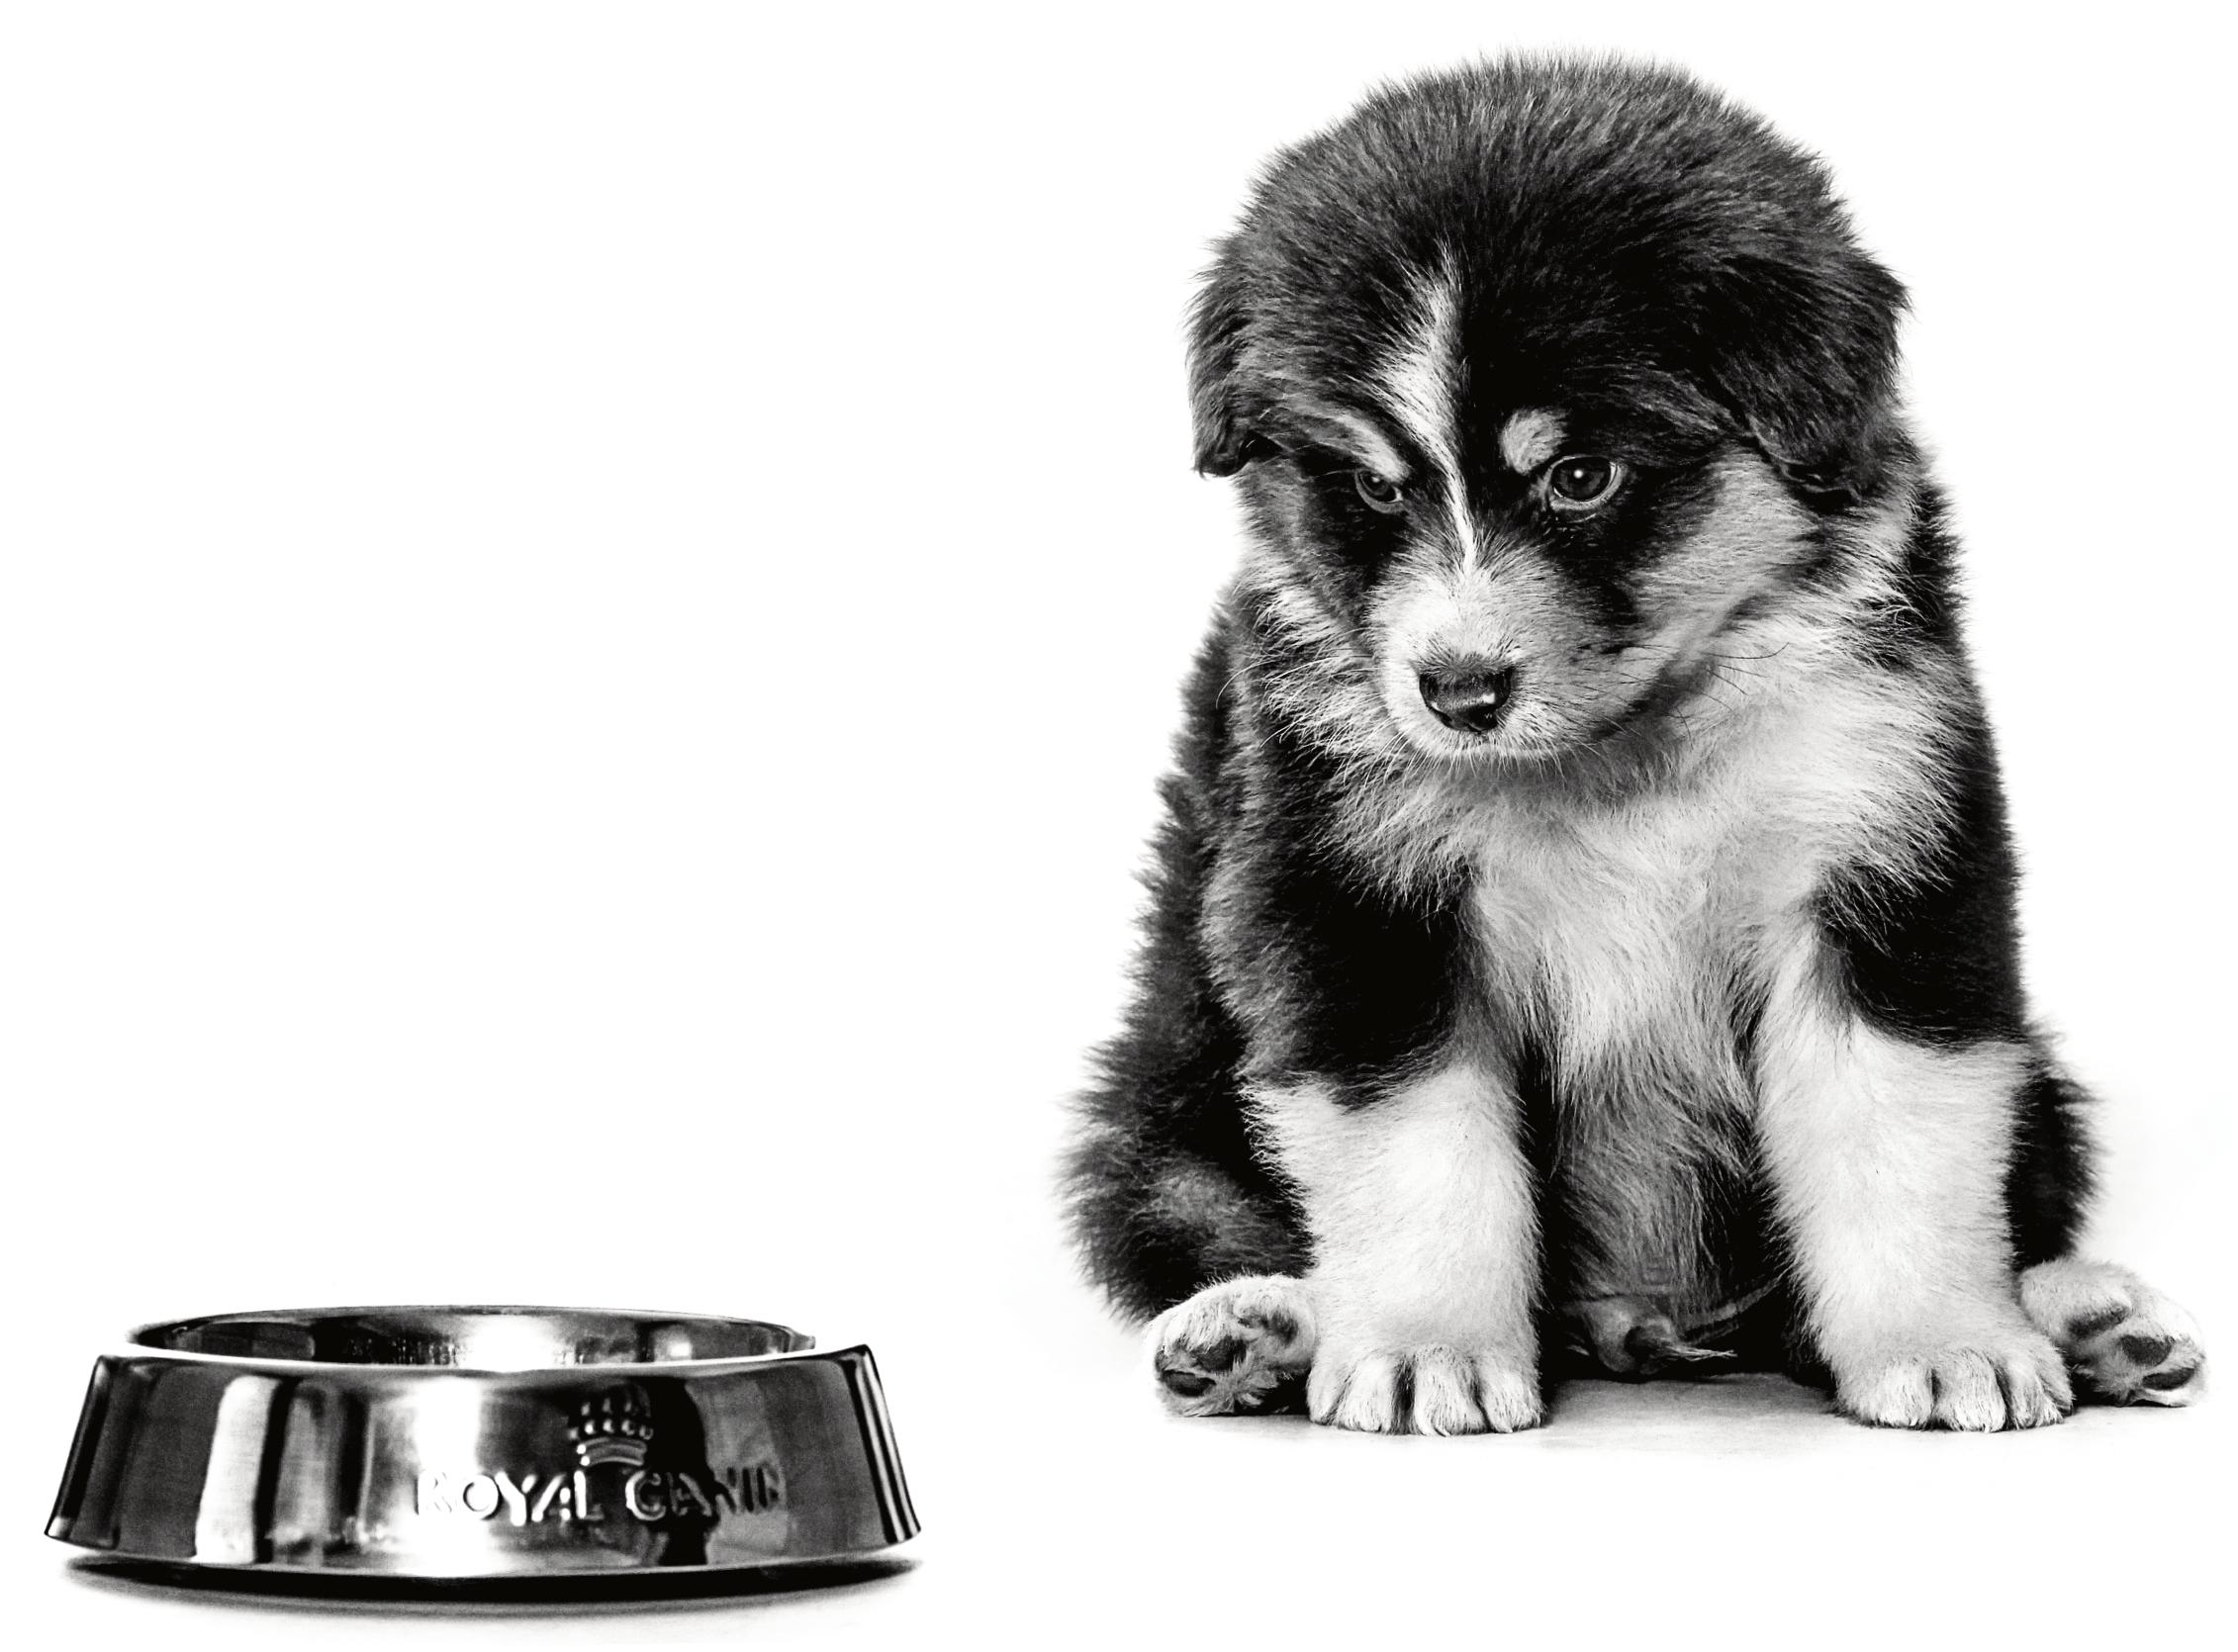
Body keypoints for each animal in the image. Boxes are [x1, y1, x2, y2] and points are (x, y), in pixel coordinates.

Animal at [1063, 56, 2204, 1433]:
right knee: (1205, 1211)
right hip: (1157, 1106)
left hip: (2044, 1087)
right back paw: (1251, 1328)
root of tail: (1641, 1319)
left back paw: (2094, 1319)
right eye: (1377, 488)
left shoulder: (1883, 861)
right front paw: (1423, 1347)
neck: (1624, 754)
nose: (1456, 691)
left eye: (1583, 476)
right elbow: (1418, 1145)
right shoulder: (1353, 903)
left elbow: (1899, 1136)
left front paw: (1946, 1343)